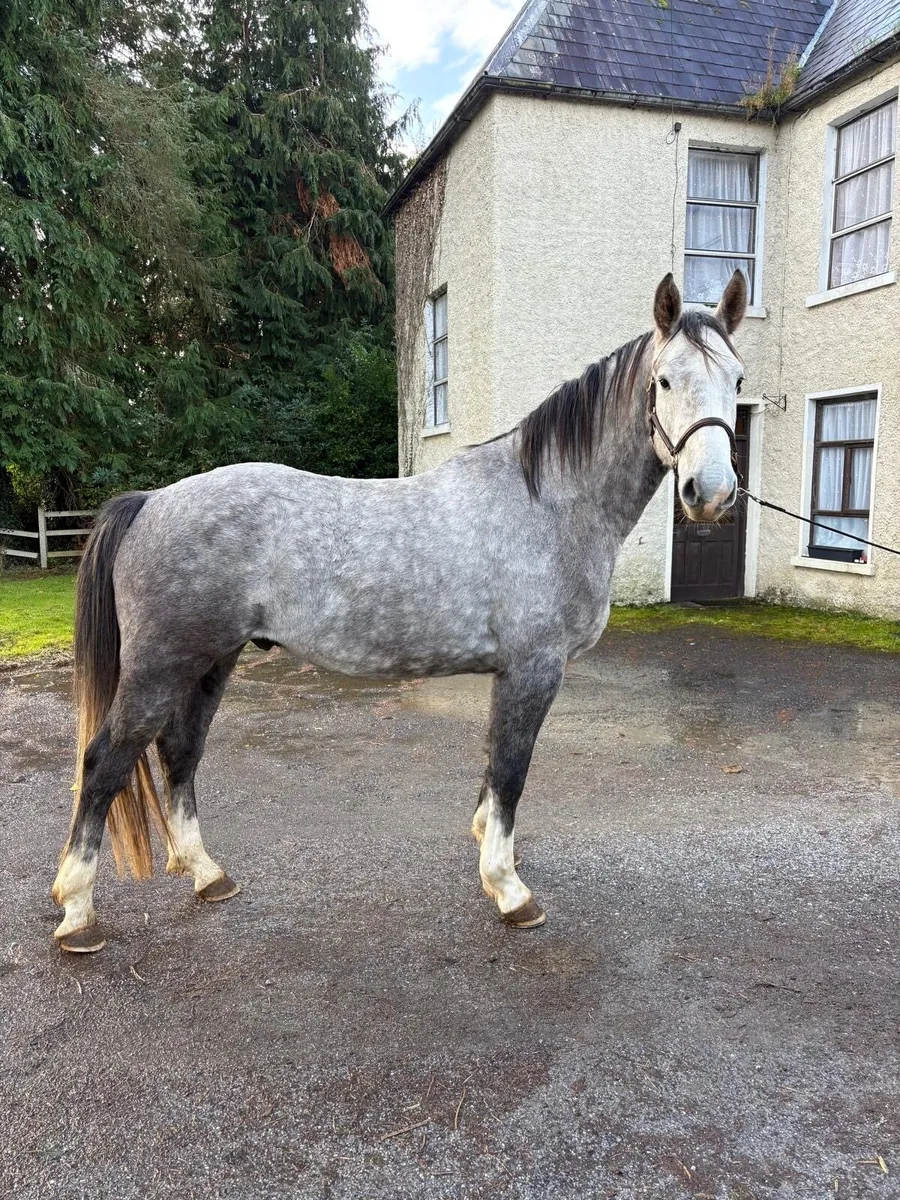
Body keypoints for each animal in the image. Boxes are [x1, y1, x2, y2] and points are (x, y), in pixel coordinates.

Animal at [51, 270, 747, 952]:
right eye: (664, 380)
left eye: (738, 380)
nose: (710, 494)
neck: (548, 503)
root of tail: (152, 500)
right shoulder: (533, 669)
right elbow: (512, 770)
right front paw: (509, 890)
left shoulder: (509, 673)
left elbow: (494, 764)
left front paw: (488, 851)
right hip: (161, 666)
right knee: (105, 761)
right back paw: (78, 912)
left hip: (210, 662)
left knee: (179, 752)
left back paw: (205, 873)